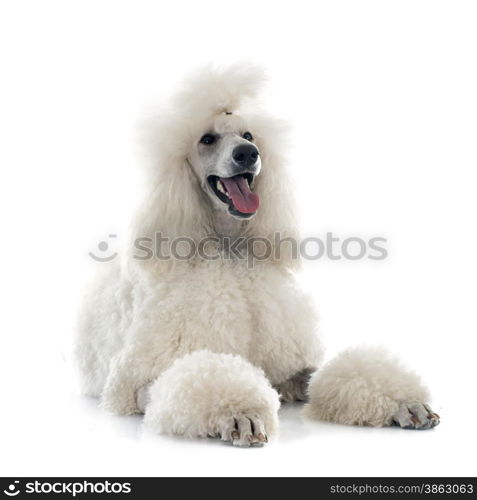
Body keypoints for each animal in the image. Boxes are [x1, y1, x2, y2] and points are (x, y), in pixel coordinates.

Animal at [74, 63, 438, 446]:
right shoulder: (132, 383)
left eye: (248, 134)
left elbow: (319, 374)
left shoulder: (289, 368)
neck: (229, 250)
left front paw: (400, 402)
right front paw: (239, 413)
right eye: (207, 139)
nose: (248, 153)